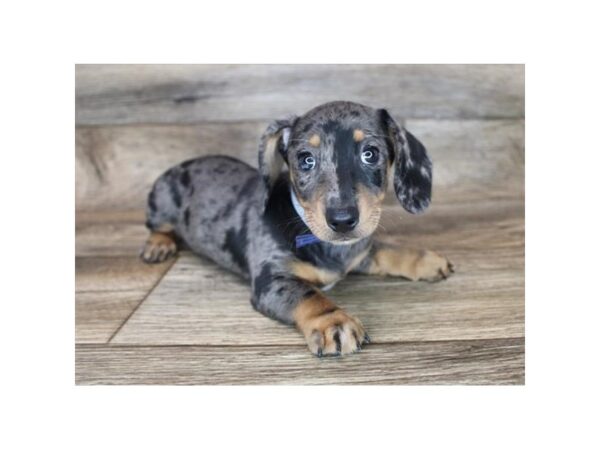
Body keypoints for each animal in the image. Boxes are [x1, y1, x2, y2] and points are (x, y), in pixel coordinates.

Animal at [141, 100, 452, 356]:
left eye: (370, 154)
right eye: (306, 159)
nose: (342, 220)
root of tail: (183, 163)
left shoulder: (359, 252)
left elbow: (387, 249)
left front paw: (426, 260)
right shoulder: (271, 280)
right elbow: (309, 296)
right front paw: (333, 322)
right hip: (162, 203)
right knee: (157, 226)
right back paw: (158, 245)